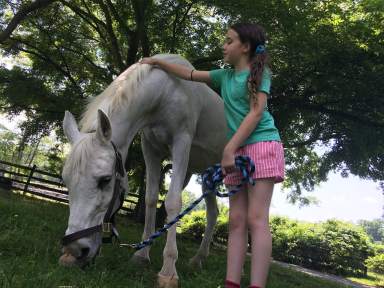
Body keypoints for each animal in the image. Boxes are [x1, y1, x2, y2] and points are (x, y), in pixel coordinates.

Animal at [60, 54, 228, 288]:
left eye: (105, 180)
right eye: (65, 181)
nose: (75, 251)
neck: (166, 89)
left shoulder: (181, 142)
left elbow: (173, 202)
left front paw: (168, 271)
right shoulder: (150, 147)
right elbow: (150, 199)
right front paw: (141, 255)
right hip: (207, 175)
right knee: (213, 213)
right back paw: (197, 260)